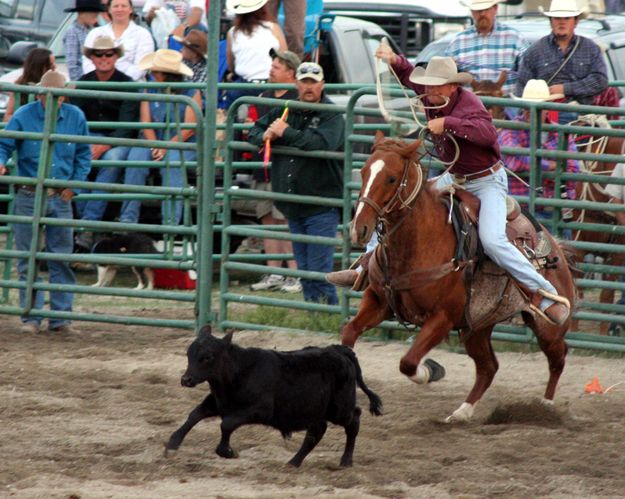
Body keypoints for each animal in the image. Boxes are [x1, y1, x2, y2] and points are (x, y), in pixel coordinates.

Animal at [342, 132, 576, 422]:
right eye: (364, 172)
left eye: (392, 178)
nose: (359, 229)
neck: (418, 243)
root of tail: (556, 246)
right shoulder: (379, 302)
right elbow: (349, 334)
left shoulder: (443, 318)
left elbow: (408, 363)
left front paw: (431, 370)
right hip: (476, 327)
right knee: (488, 367)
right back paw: (462, 413)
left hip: (547, 329)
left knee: (558, 357)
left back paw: (545, 406)